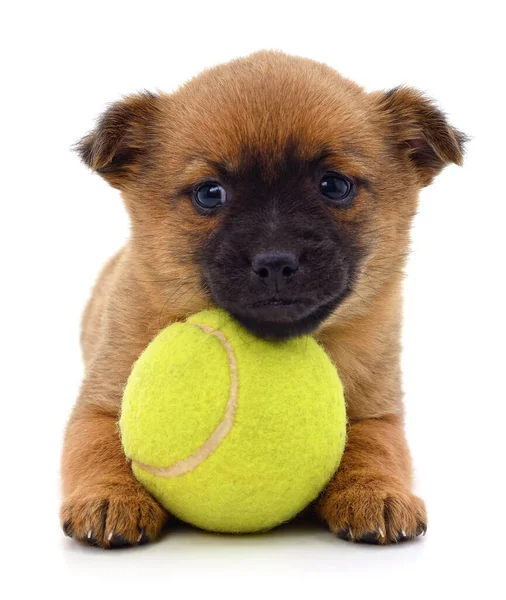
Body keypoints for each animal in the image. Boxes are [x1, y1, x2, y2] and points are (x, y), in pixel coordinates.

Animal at [60, 51, 466, 548]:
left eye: (334, 186)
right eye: (210, 193)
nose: (275, 263)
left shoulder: (379, 415)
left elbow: (375, 450)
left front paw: (377, 493)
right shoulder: (97, 407)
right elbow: (99, 448)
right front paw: (109, 497)